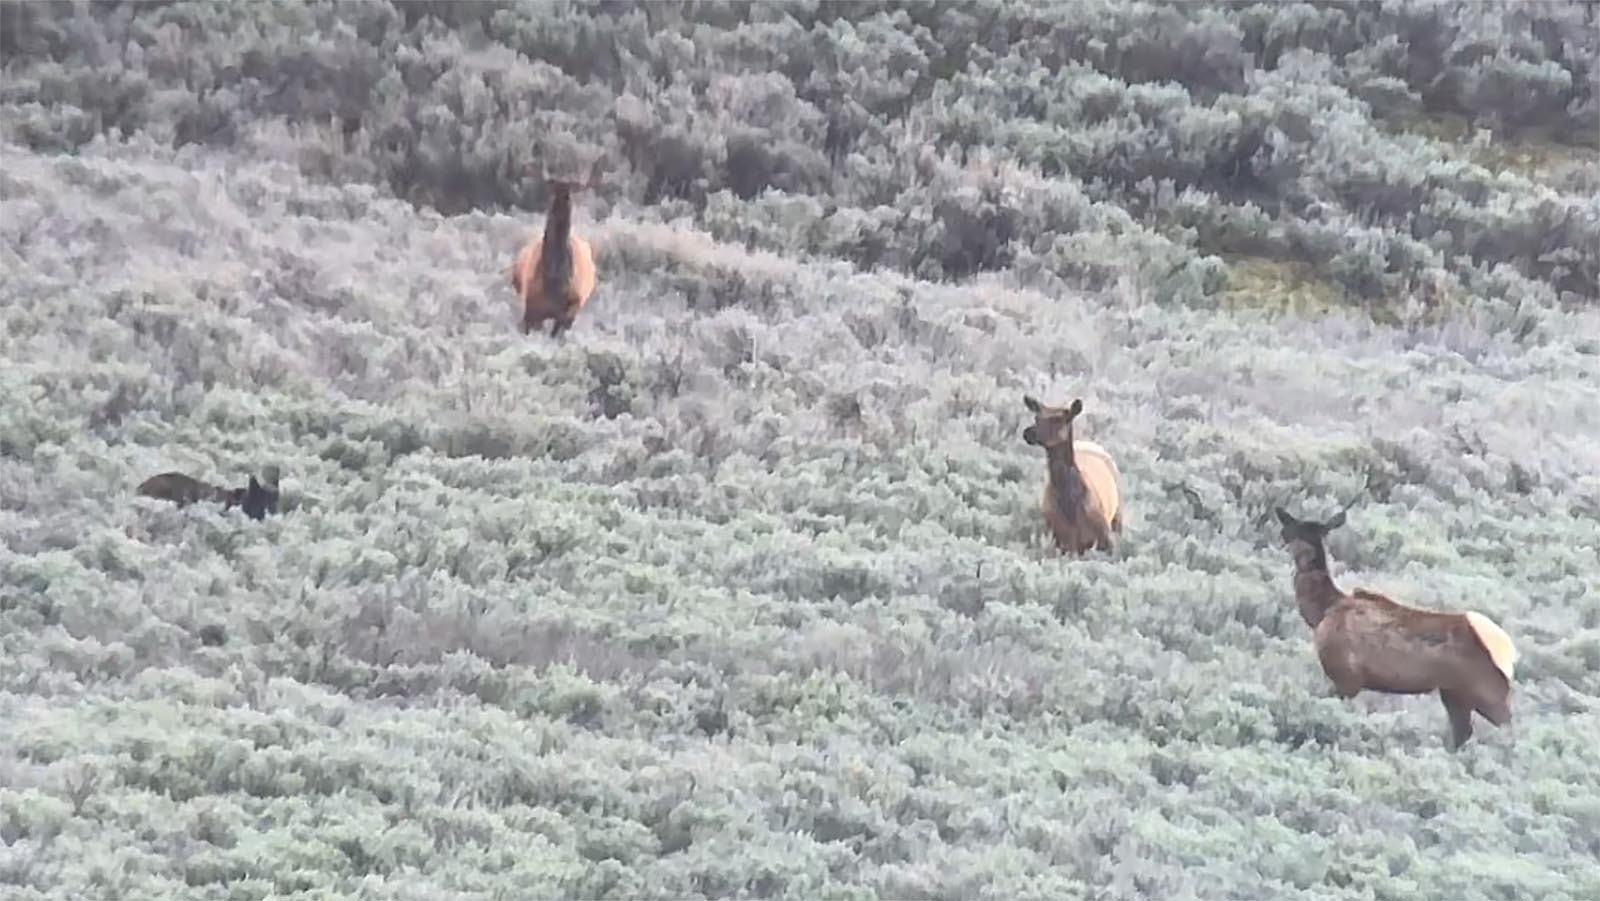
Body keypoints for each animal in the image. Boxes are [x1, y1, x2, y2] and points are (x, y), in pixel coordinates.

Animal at [1024, 396, 1126, 556]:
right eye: (1036, 417)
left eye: (1058, 419)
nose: (1027, 433)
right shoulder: (1061, 540)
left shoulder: (1105, 538)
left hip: (1117, 516)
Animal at [1273, 512, 1523, 752]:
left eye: (1291, 529)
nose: (1282, 538)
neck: (1321, 611)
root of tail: (1507, 650)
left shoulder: (1346, 677)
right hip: (1454, 693)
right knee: (1463, 733)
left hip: (1487, 691)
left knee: (1508, 730)